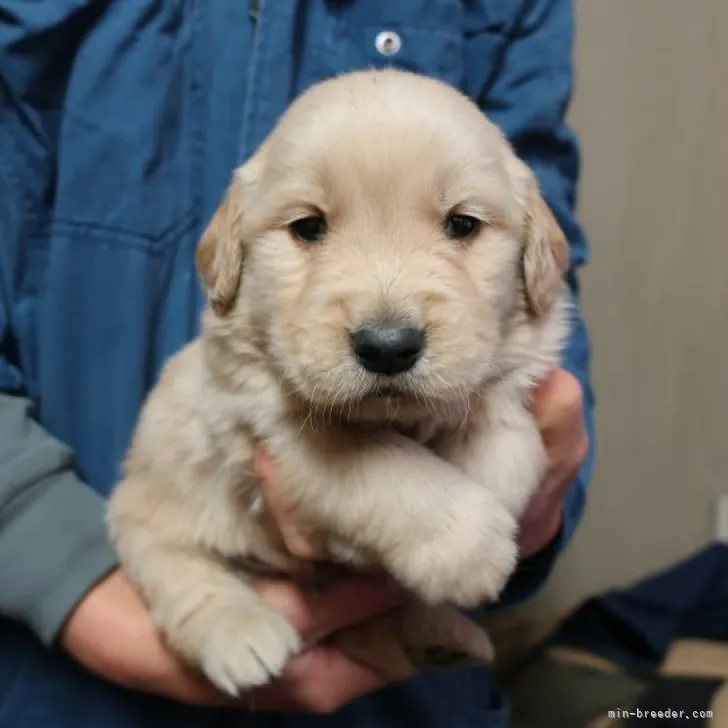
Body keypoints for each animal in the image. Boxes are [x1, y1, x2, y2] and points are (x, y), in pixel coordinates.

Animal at [105, 69, 572, 700]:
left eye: (462, 224)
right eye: (308, 227)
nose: (388, 346)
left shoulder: (513, 381)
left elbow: (509, 442)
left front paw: (485, 486)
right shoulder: (272, 428)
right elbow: (383, 466)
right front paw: (466, 543)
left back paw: (441, 635)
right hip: (157, 491)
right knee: (168, 558)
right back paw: (242, 633)